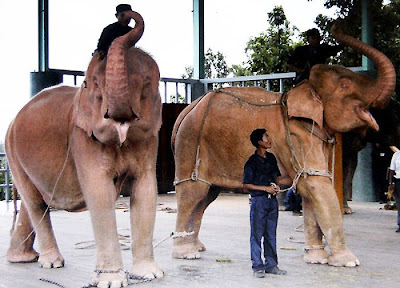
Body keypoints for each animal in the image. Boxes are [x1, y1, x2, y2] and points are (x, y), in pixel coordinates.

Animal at [5, 10, 164, 286]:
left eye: (147, 84)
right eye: (92, 85)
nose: (123, 12)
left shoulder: (149, 138)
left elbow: (146, 189)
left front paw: (149, 275)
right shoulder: (81, 137)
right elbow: (99, 191)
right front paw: (111, 281)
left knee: (31, 201)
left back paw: (23, 259)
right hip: (12, 153)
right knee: (35, 203)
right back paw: (51, 263)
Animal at [170, 23, 396, 268]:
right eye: (345, 85)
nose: (336, 26)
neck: (305, 89)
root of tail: (186, 111)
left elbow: (311, 185)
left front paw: (316, 259)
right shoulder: (298, 135)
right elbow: (316, 184)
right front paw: (349, 262)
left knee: (206, 194)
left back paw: (196, 247)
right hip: (191, 143)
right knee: (192, 192)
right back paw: (186, 253)